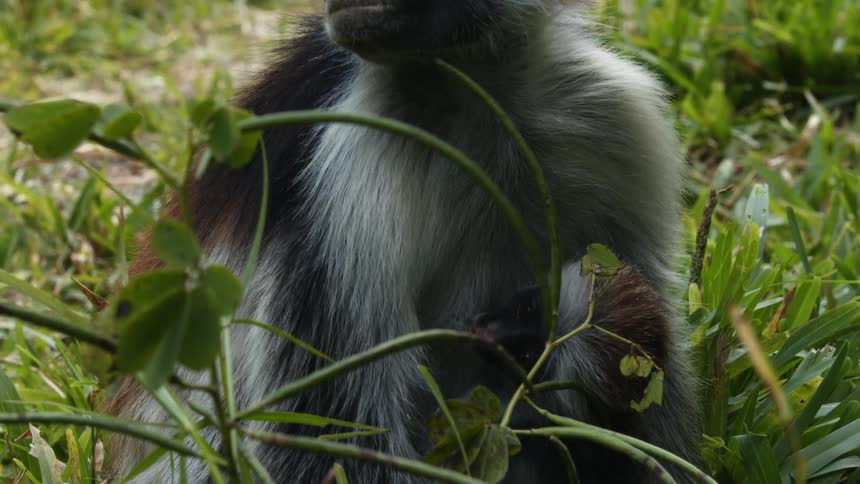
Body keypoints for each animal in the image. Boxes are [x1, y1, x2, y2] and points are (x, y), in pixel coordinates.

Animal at [105, 0, 701, 482]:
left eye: (529, 337)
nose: (488, 331)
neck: (470, 88)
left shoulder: (610, 113)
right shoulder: (349, 158)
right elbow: (329, 435)